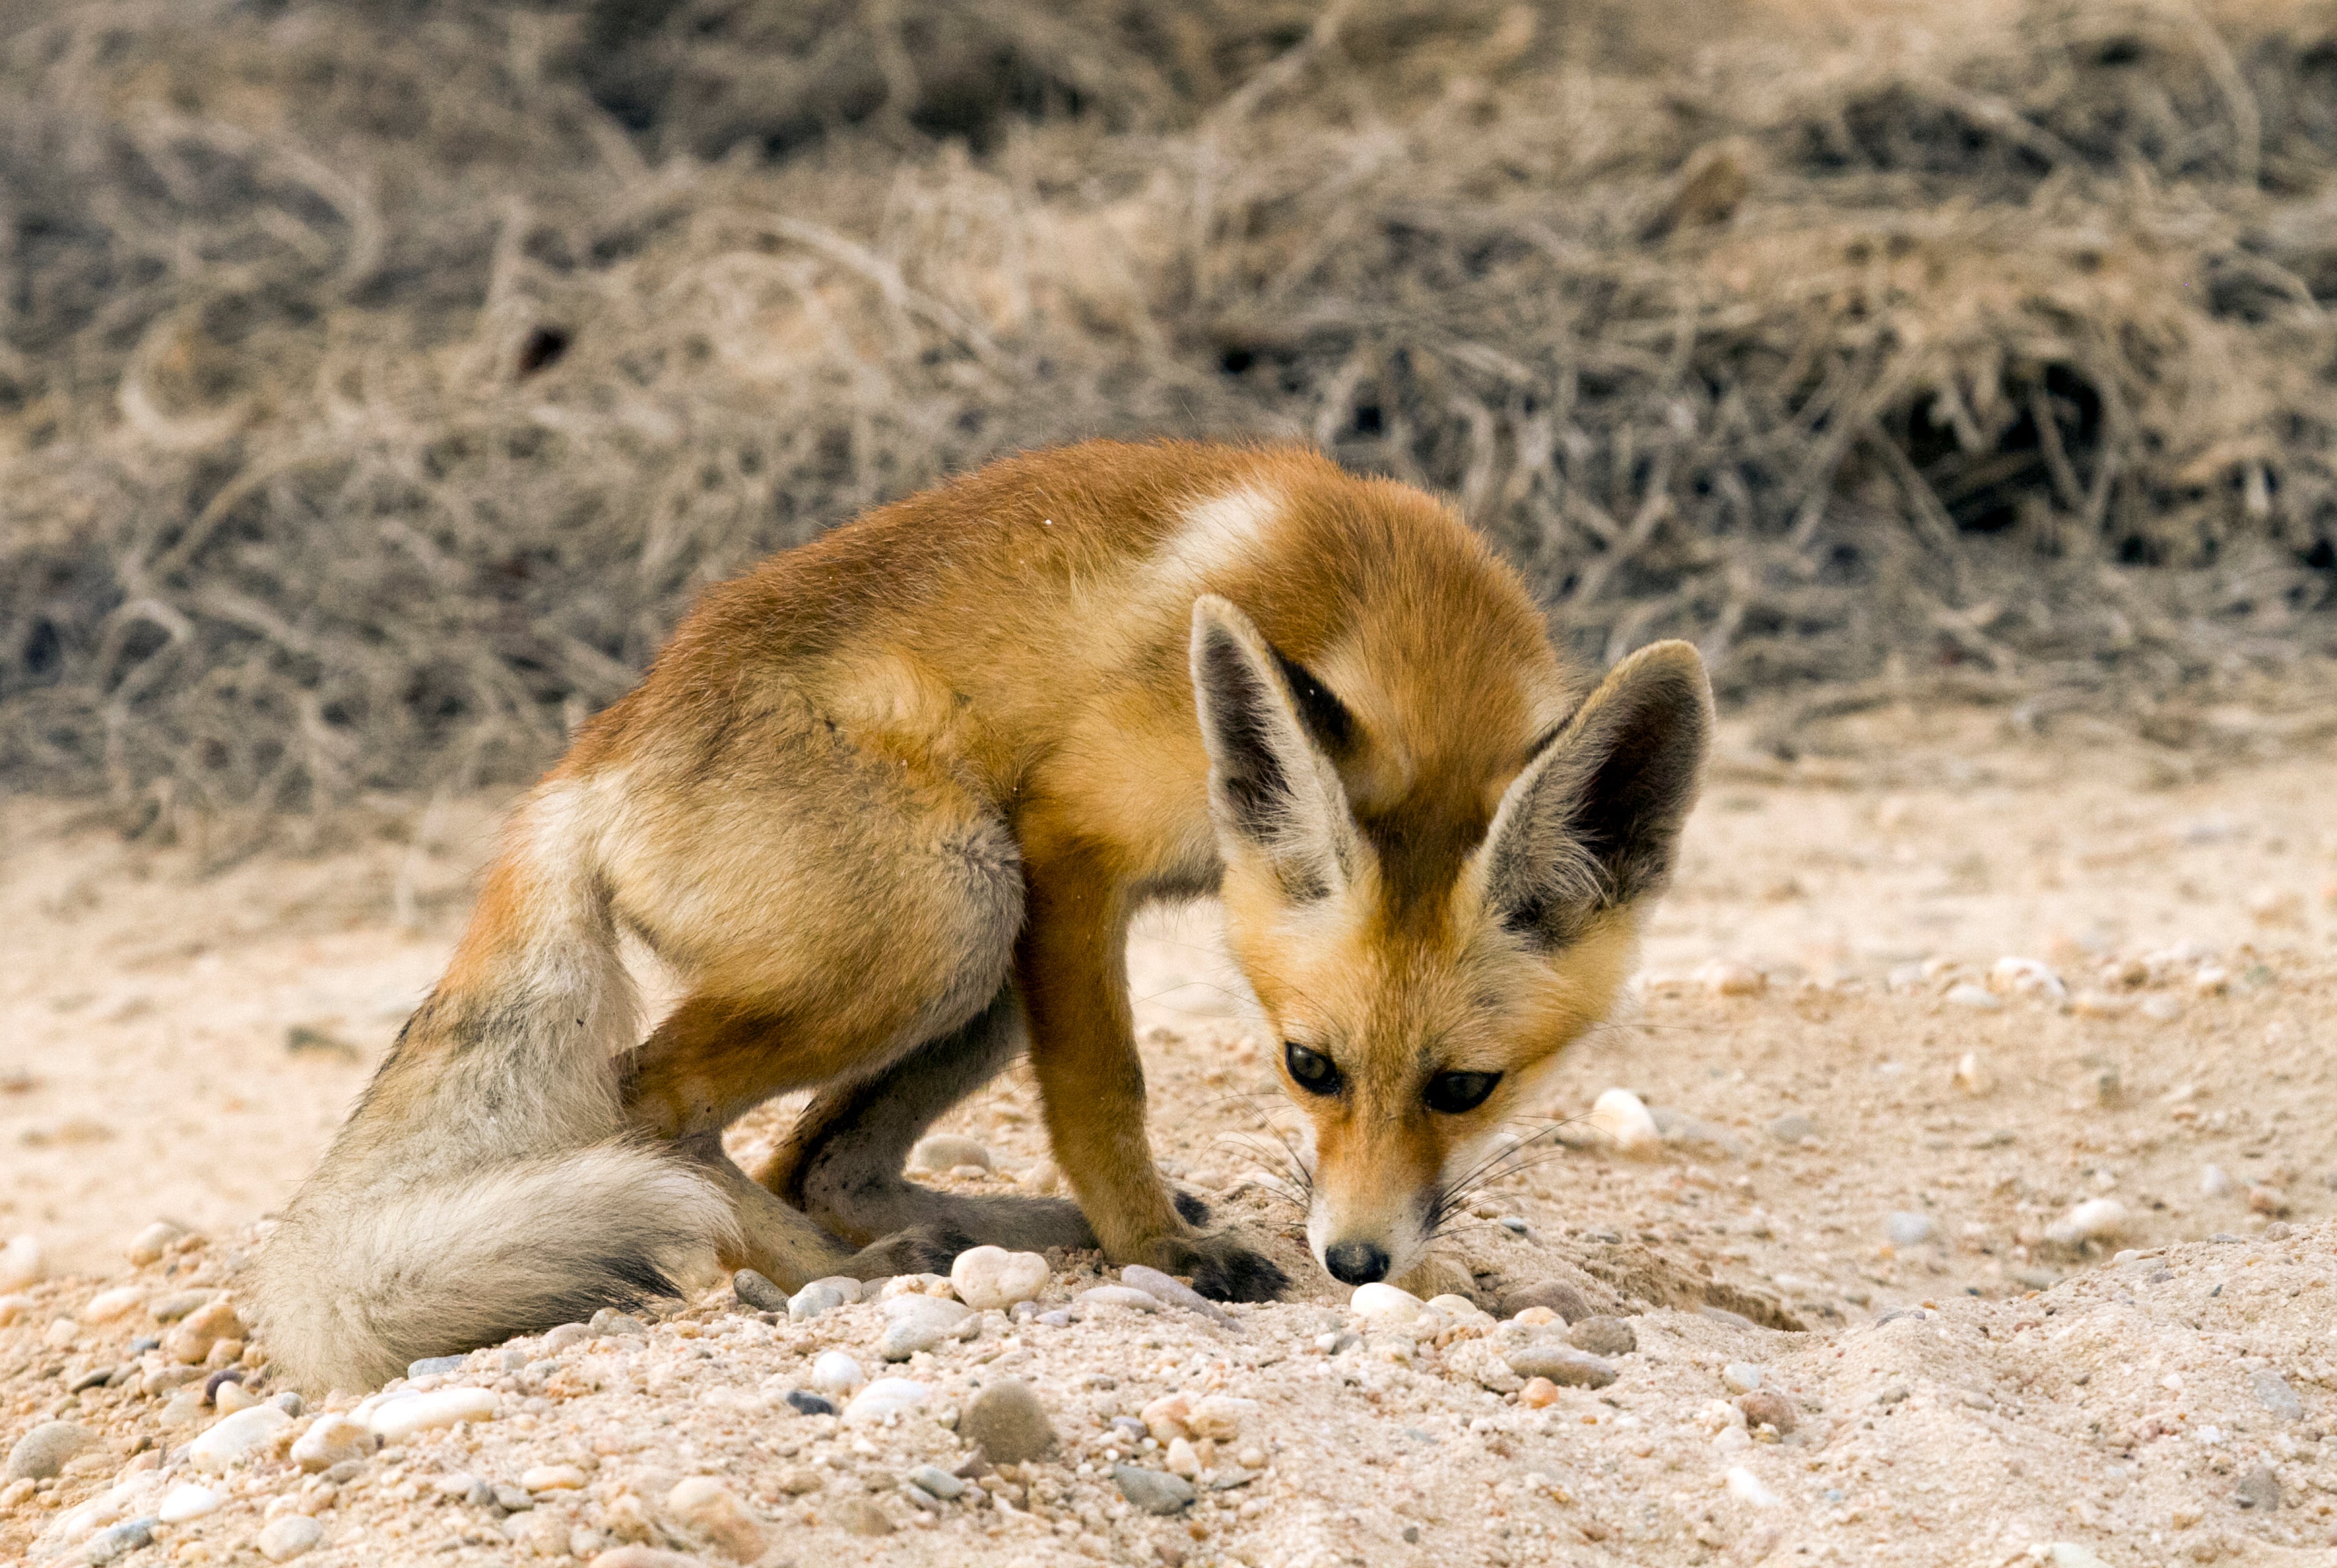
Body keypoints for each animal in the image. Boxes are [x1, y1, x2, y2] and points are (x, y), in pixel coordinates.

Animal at [256, 434, 1710, 1393]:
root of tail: (586, 759)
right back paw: (839, 1271)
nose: (1351, 1260)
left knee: (819, 1159)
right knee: (653, 1104)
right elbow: (1109, 1091)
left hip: (979, 971)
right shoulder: (1073, 840)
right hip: (960, 906)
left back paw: (980, 1233)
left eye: (1467, 1088)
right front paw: (1153, 1248)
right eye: (1310, 1065)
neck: (1390, 627)